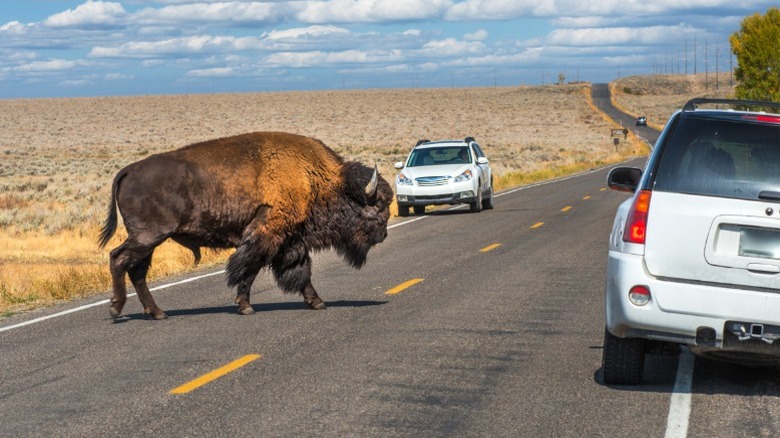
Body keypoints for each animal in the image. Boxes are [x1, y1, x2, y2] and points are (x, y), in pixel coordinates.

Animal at [97, 132, 394, 320]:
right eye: (377, 205)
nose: (383, 235)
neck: (317, 180)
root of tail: (128, 170)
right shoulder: (266, 235)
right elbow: (248, 268)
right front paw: (245, 306)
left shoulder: (290, 241)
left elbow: (301, 272)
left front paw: (317, 302)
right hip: (148, 236)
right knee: (119, 259)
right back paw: (116, 309)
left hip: (149, 240)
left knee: (137, 271)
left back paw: (157, 313)